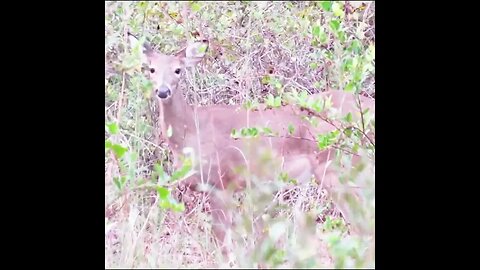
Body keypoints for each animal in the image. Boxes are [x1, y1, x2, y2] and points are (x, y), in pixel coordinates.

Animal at [128, 33, 376, 255]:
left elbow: (223, 242)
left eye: (178, 70)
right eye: (151, 69)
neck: (191, 130)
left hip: (339, 167)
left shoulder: (221, 182)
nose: (163, 91)